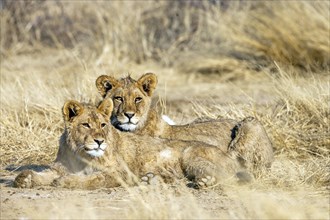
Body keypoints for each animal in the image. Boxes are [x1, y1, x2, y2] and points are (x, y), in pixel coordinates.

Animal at [14, 99, 246, 189]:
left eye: (103, 124)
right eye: (86, 125)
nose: (99, 141)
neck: (80, 154)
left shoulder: (119, 173)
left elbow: (93, 179)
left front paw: (66, 182)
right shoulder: (60, 166)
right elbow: (45, 174)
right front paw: (25, 178)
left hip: (191, 154)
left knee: (227, 177)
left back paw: (204, 182)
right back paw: (151, 180)